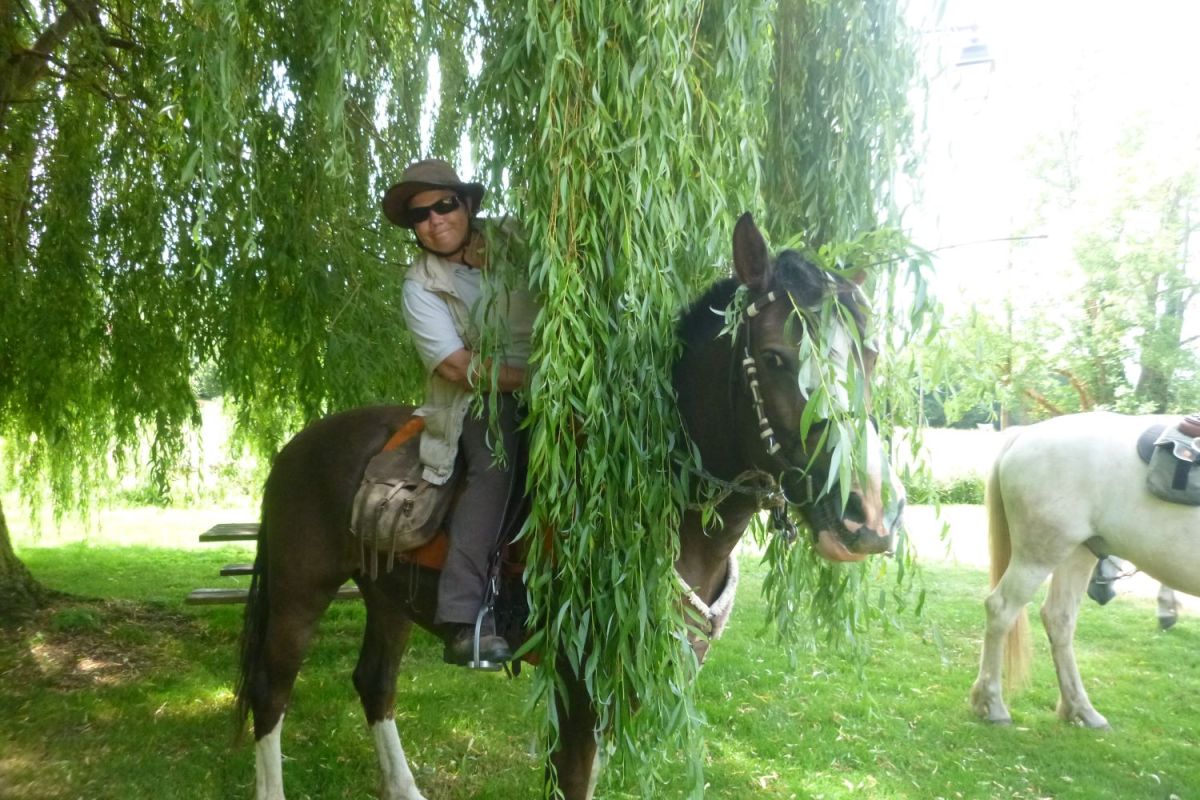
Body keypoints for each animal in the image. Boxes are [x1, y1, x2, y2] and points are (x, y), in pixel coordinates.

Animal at [236, 214, 902, 800]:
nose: (867, 520)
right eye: (773, 357)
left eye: (870, 356)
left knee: (375, 684)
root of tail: (295, 445)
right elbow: (574, 779)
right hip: (299, 592)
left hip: (388, 596)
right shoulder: (577, 690)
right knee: (272, 692)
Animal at [969, 417, 1200, 729]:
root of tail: (1025, 434)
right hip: (1040, 554)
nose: (1102, 592)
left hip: (1077, 552)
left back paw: (1081, 709)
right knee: (1001, 609)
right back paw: (993, 704)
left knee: (1059, 618)